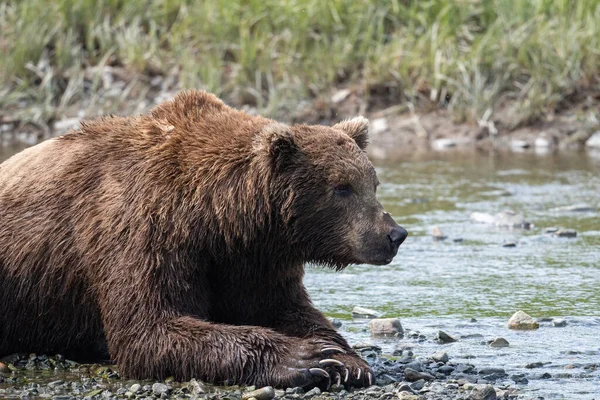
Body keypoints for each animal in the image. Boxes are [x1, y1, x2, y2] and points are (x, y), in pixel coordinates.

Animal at [0, 90, 406, 388]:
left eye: (372, 183)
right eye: (341, 188)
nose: (394, 234)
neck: (214, 217)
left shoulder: (250, 257)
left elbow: (282, 307)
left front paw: (344, 359)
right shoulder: (141, 230)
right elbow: (150, 326)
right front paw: (304, 358)